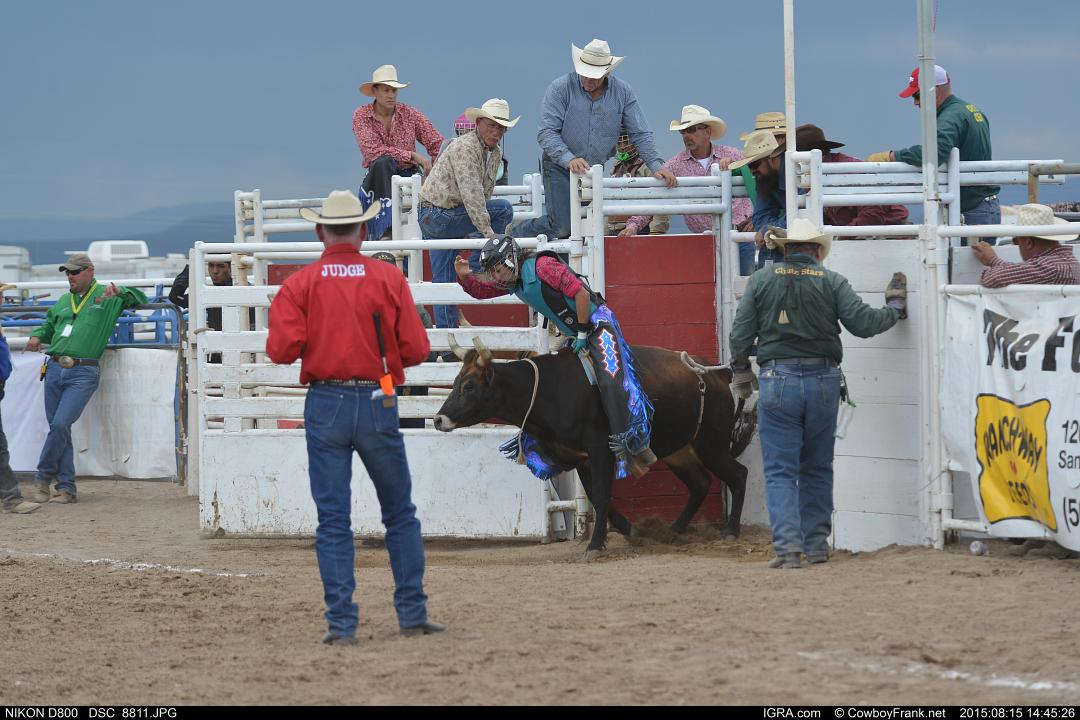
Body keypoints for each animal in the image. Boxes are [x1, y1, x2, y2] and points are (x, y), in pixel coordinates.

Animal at [433, 337, 755, 560]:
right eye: (456, 381)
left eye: (469, 386)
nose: (438, 419)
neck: (550, 389)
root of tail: (713, 374)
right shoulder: (581, 459)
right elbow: (598, 497)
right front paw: (631, 531)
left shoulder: (600, 450)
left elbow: (601, 495)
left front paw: (595, 545)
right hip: (680, 451)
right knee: (700, 484)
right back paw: (673, 531)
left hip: (710, 444)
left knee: (738, 474)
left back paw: (730, 531)